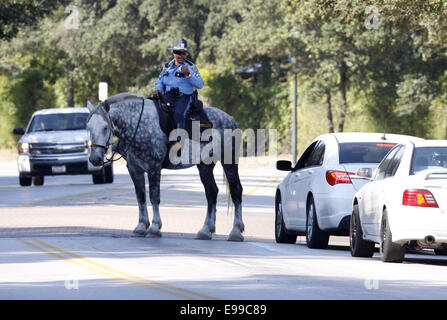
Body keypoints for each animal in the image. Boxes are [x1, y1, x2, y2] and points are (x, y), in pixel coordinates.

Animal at [87, 92, 245, 240]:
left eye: (105, 127)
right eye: (88, 127)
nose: (94, 159)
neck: (137, 124)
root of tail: (230, 119)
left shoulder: (154, 167)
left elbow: (154, 197)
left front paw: (155, 227)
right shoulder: (134, 169)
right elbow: (140, 197)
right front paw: (141, 226)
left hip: (229, 161)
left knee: (236, 190)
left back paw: (236, 231)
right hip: (204, 166)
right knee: (211, 192)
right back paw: (206, 230)